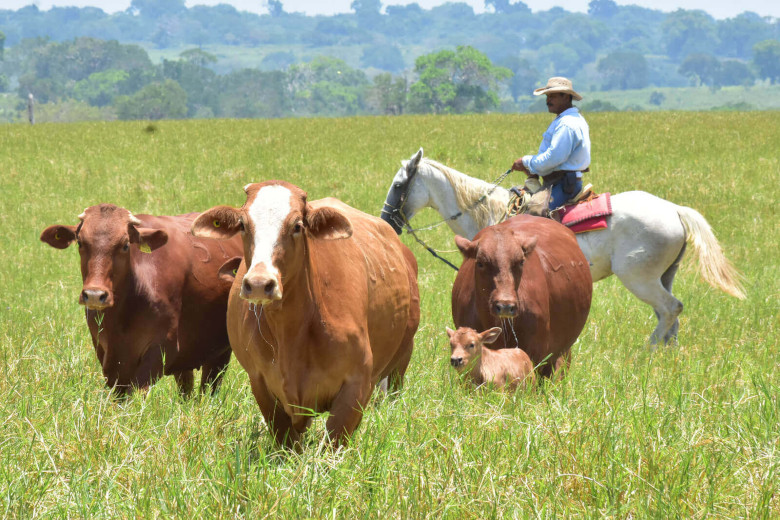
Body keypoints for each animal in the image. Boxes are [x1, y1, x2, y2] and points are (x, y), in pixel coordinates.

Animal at [40, 204, 244, 396]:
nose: (95, 294)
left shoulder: (162, 349)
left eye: (125, 245)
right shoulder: (106, 352)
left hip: (219, 354)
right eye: (80, 243)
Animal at [191, 180, 421, 447]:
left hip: (401, 362)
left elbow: (334, 442)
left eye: (297, 226)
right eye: (243, 225)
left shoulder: (357, 383)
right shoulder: (260, 382)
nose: (259, 283)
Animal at [381, 148, 745, 346]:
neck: (490, 214)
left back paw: (647, 353)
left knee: (670, 309)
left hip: (638, 278)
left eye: (398, 184)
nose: (386, 221)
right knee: (671, 316)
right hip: (664, 276)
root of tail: (674, 210)